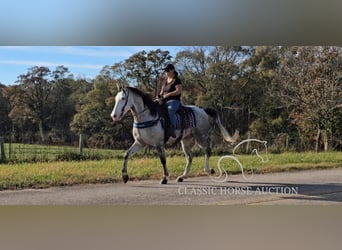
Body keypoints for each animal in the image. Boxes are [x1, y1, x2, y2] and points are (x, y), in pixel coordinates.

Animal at [111, 87, 239, 185]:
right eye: (116, 99)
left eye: (123, 99)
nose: (114, 116)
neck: (147, 116)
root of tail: (203, 110)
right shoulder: (140, 143)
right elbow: (126, 154)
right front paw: (125, 177)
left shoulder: (158, 144)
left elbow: (163, 160)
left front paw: (164, 178)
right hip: (186, 140)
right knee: (190, 156)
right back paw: (183, 176)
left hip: (200, 136)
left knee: (207, 150)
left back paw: (208, 170)